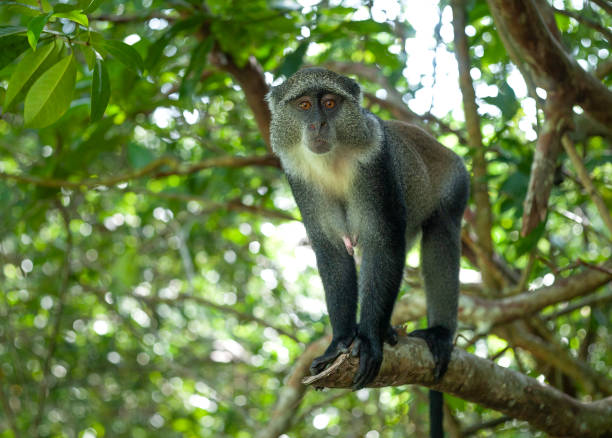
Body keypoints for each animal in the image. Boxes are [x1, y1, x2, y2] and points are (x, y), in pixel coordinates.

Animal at [266, 68, 468, 438]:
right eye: (304, 105)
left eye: (330, 103)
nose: (318, 124)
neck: (332, 162)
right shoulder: (298, 177)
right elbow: (333, 253)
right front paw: (341, 342)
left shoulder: (376, 163)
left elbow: (383, 243)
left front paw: (370, 340)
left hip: (456, 185)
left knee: (441, 237)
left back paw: (439, 333)